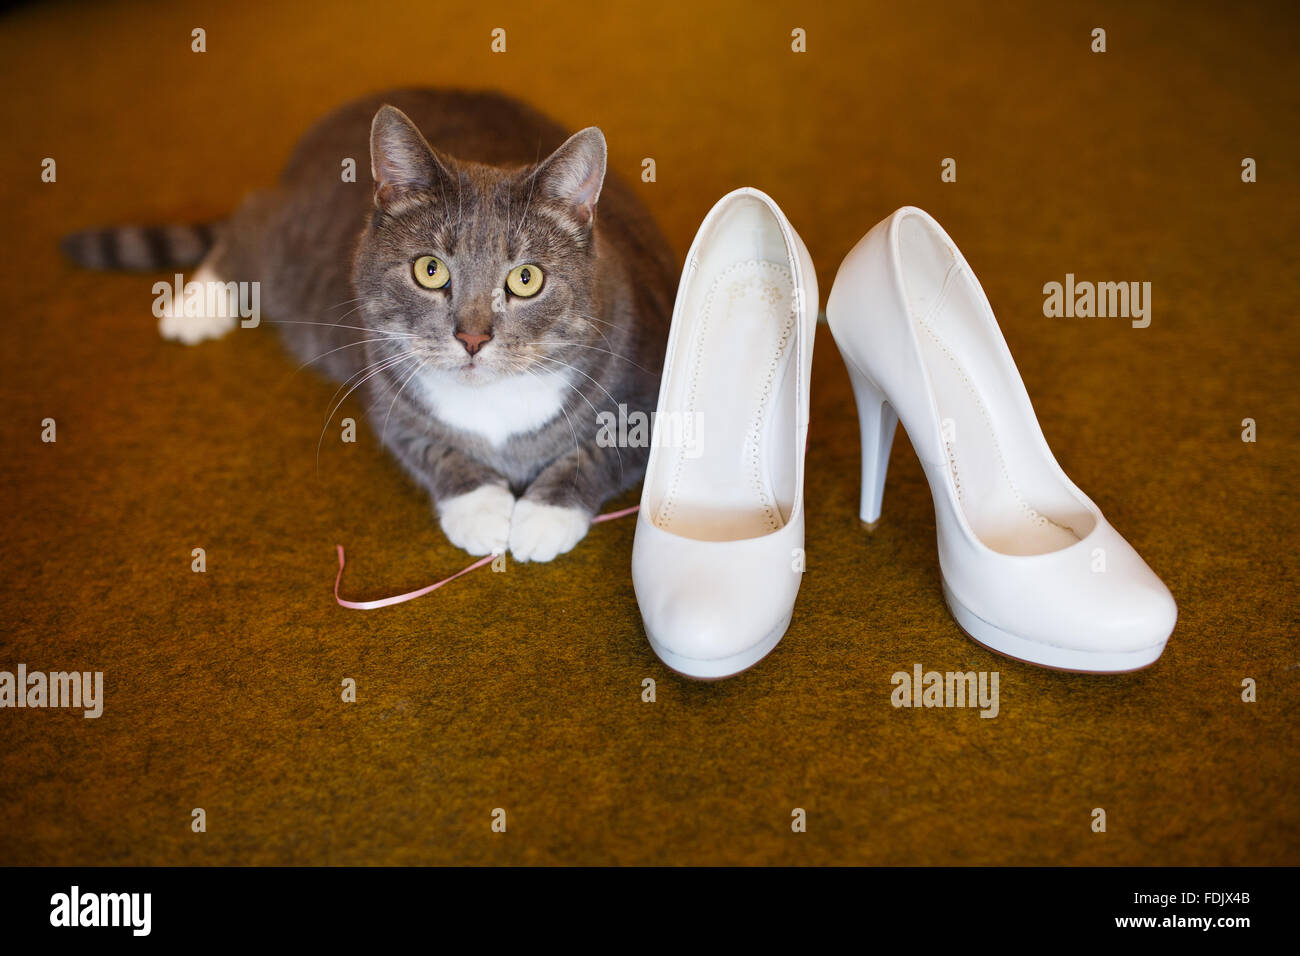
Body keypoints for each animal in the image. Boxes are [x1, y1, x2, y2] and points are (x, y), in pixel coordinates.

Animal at [61, 87, 676, 564]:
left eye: (526, 278)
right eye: (430, 270)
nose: (472, 337)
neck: (496, 410)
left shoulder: (647, 396)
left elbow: (600, 452)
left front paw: (541, 517)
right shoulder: (385, 394)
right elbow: (426, 446)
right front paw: (481, 509)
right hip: (289, 251)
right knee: (248, 221)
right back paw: (194, 308)